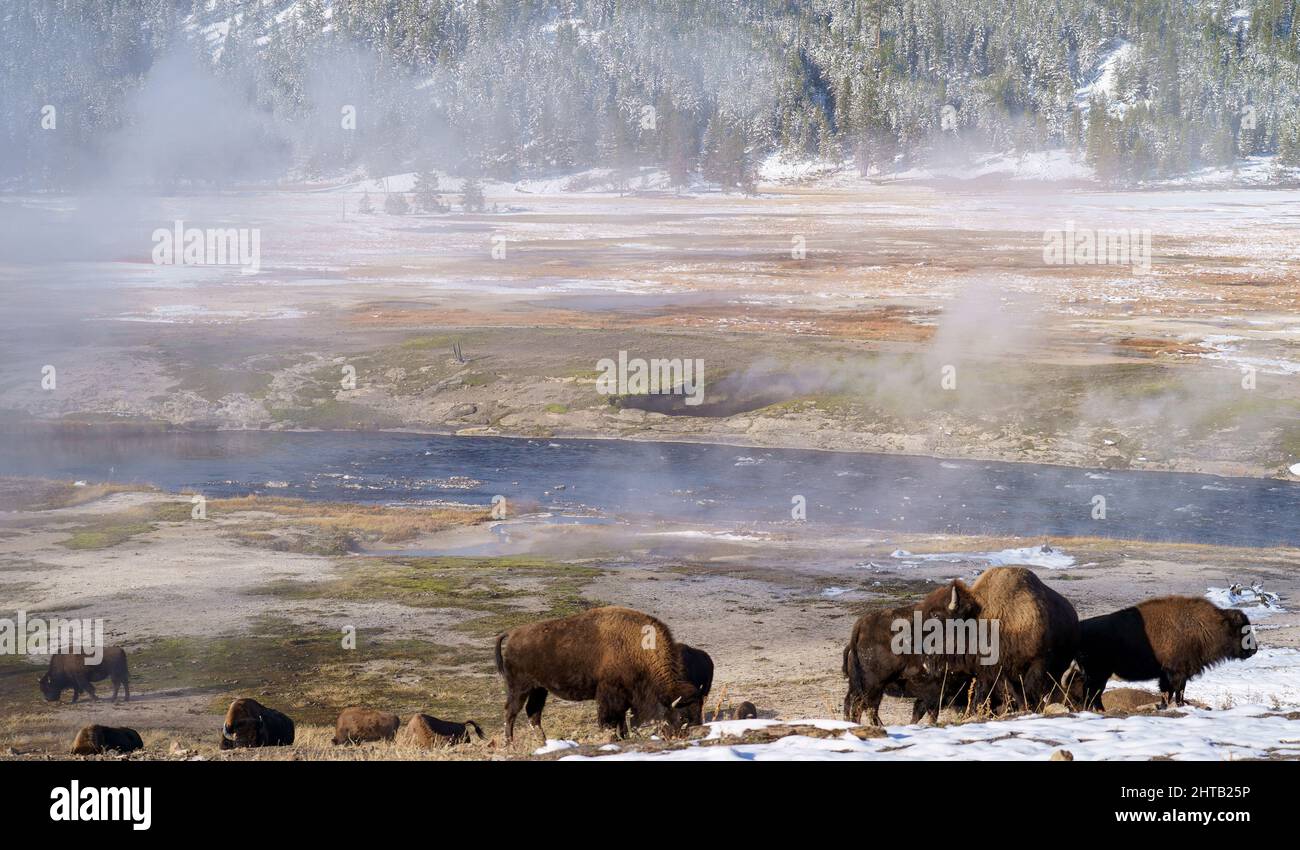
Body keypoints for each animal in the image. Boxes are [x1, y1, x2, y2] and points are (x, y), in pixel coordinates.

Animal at [493, 605, 702, 748]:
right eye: (682, 715)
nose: (680, 737)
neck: (639, 647)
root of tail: (512, 633)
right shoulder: (610, 696)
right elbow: (610, 720)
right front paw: (613, 739)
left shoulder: (623, 697)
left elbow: (621, 721)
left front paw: (623, 738)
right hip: (519, 687)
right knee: (511, 712)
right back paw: (510, 744)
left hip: (539, 689)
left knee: (533, 713)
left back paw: (544, 743)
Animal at [1071, 595, 1253, 707]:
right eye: (1242, 629)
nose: (1254, 649)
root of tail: (1080, 629)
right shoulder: (1176, 673)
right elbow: (1177, 691)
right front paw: (1178, 705)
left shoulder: (1171, 675)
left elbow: (1171, 692)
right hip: (1098, 674)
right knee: (1092, 693)